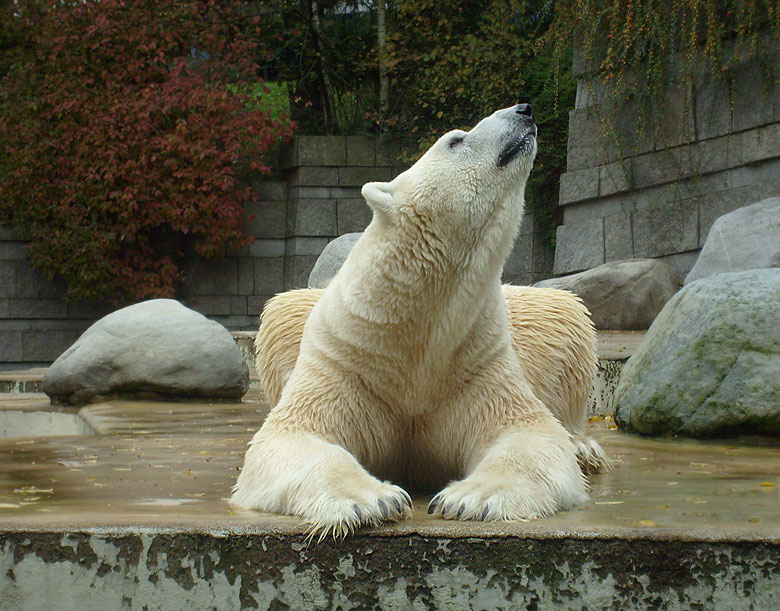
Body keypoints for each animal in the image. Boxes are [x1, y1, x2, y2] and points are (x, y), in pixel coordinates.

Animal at [232, 105, 608, 536]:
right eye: (456, 140)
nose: (524, 110)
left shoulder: (474, 360)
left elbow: (528, 432)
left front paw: (469, 498)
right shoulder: (346, 361)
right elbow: (292, 436)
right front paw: (373, 500)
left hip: (546, 317)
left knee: (567, 321)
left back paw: (583, 447)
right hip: (288, 319)